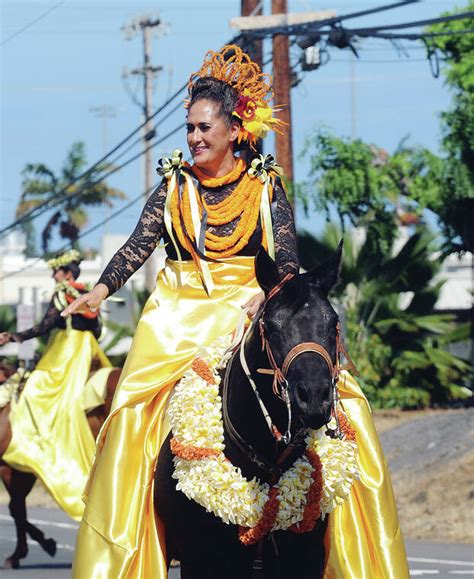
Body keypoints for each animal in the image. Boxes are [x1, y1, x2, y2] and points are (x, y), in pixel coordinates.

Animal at [157, 246, 342, 579]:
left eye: (332, 323)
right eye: (271, 325)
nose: (313, 398)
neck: (267, 462)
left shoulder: (305, 559)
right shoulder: (200, 561)